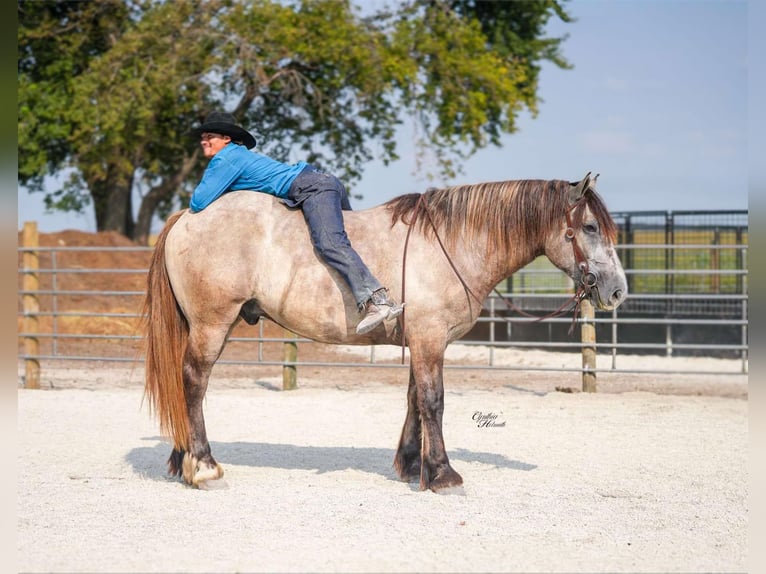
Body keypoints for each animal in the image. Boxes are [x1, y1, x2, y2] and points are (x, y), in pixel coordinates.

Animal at [142, 172, 628, 492]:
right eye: (589, 227)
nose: (617, 290)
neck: (452, 243)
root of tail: (187, 217)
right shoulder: (430, 339)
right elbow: (434, 401)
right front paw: (444, 474)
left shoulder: (424, 342)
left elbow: (415, 401)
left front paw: (415, 466)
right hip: (212, 323)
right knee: (193, 381)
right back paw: (204, 466)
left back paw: (182, 460)